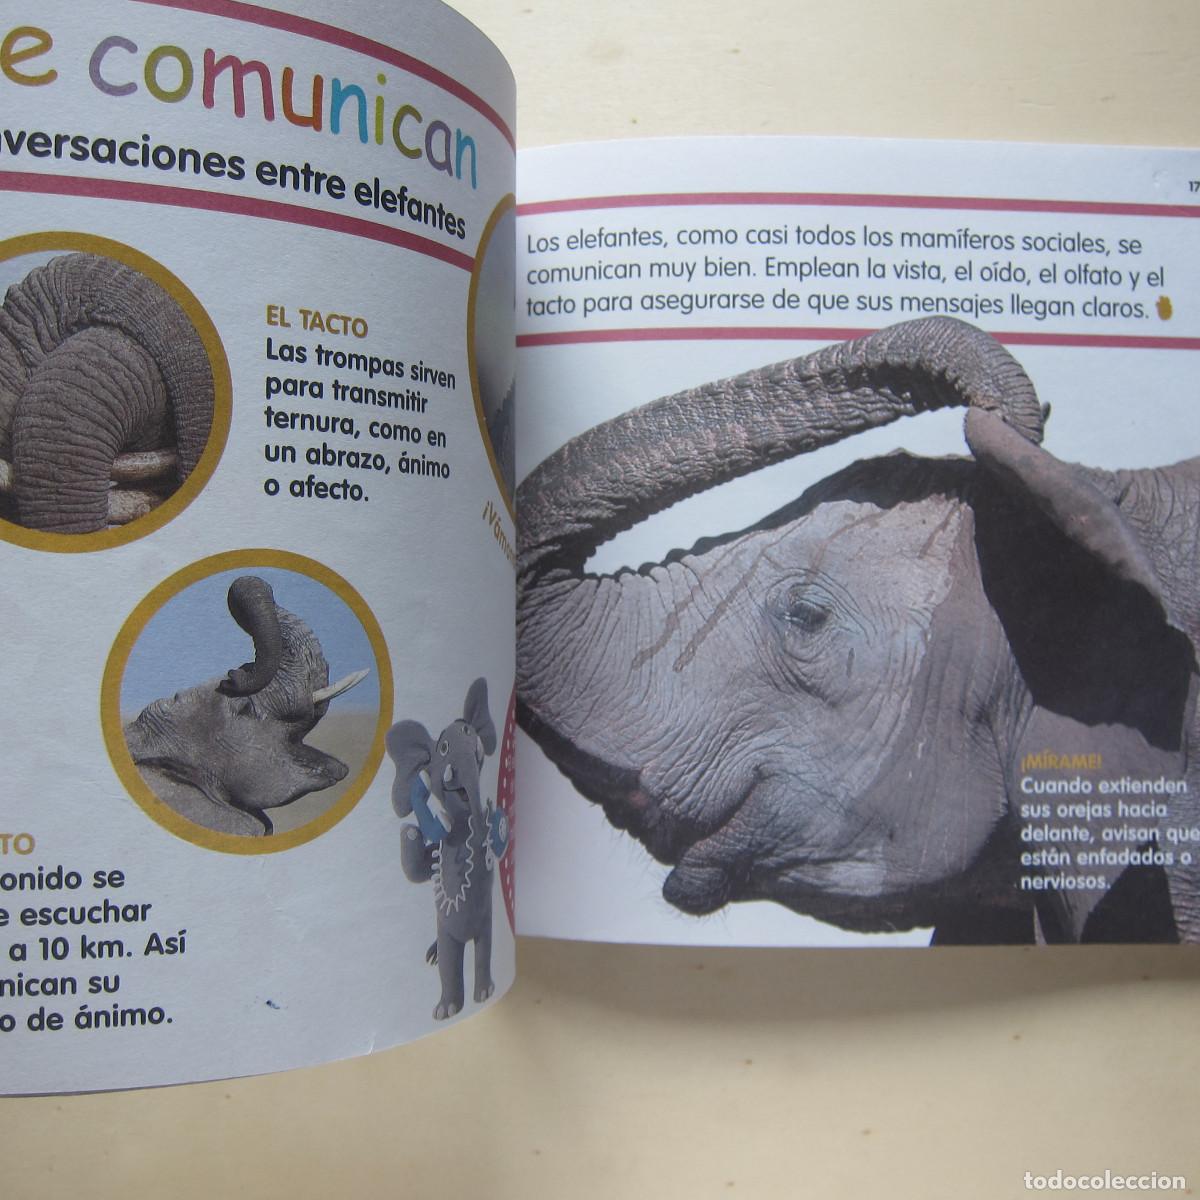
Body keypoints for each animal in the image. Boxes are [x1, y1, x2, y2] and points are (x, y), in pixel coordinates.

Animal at [388, 679, 508, 1018]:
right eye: (442, 749)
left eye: (469, 730)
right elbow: (418, 870)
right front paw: (447, 1010)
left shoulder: (487, 921)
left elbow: (485, 950)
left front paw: (485, 993)